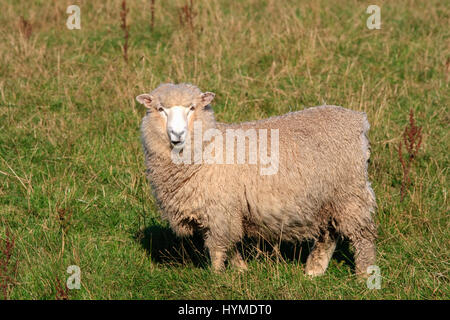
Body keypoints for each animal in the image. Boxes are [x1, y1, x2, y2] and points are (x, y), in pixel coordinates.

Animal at [136, 84, 376, 276]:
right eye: (160, 109)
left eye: (192, 108)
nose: (177, 134)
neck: (208, 148)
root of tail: (358, 120)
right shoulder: (223, 211)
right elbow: (230, 244)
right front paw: (241, 270)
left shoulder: (220, 209)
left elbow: (217, 247)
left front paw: (216, 276)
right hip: (327, 197)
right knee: (329, 234)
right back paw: (314, 271)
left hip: (349, 192)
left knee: (363, 236)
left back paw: (364, 275)